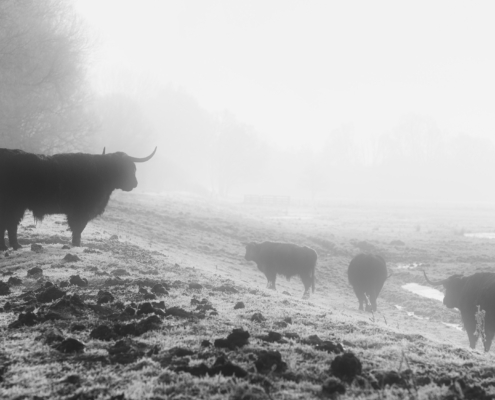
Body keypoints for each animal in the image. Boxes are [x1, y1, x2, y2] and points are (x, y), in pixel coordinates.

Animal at [0, 145, 157, 248]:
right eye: (124, 168)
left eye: (133, 167)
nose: (135, 183)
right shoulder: (81, 211)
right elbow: (78, 228)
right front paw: (76, 245)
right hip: (13, 205)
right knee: (9, 224)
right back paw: (13, 246)